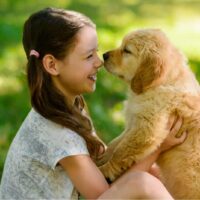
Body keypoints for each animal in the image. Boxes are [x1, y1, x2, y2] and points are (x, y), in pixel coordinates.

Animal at [101, 28, 200, 199]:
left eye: (127, 50)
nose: (104, 55)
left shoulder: (146, 129)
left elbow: (120, 151)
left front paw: (106, 169)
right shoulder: (133, 123)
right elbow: (114, 144)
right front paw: (99, 160)